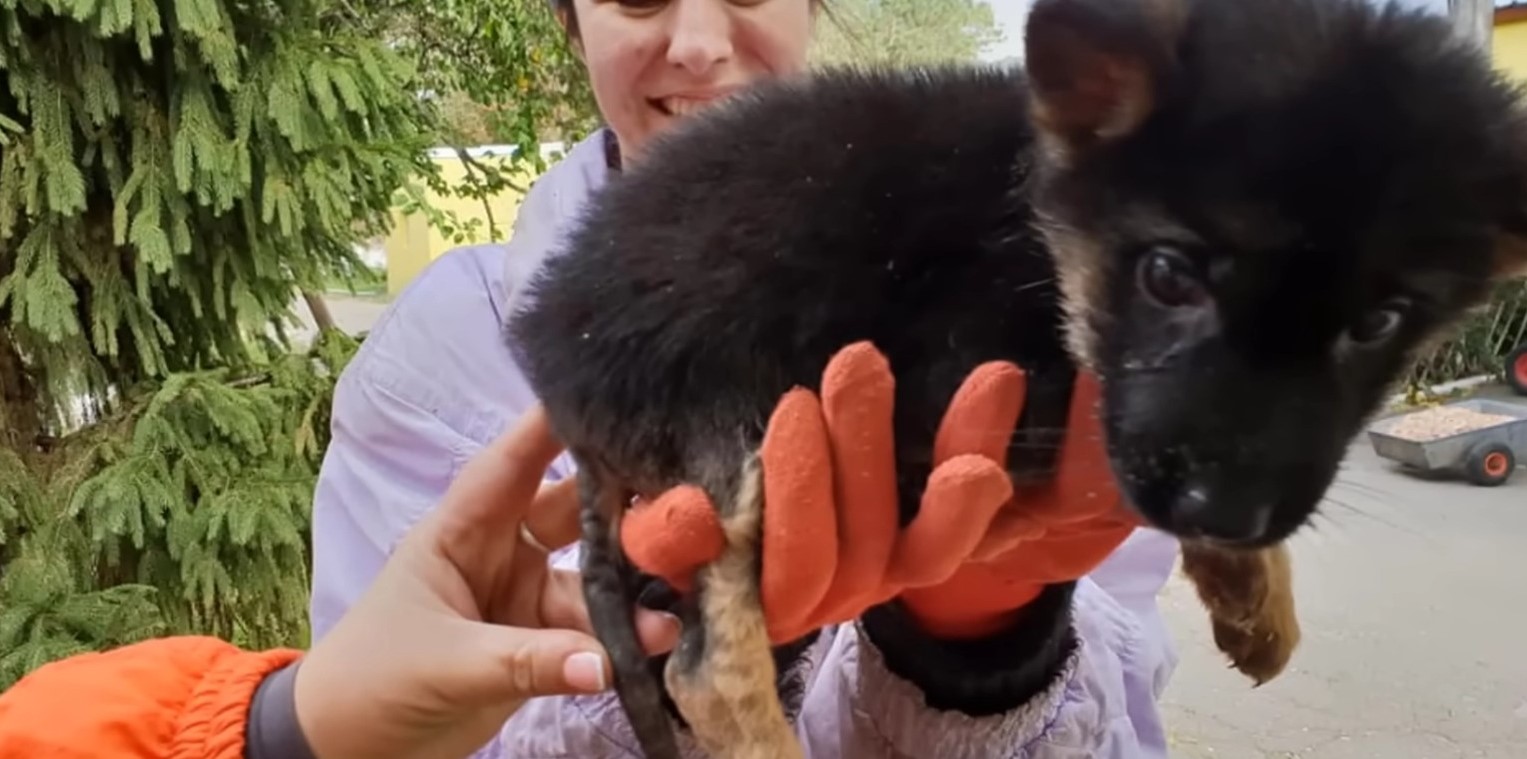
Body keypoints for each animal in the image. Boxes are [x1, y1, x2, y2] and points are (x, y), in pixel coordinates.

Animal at [510, 1, 1527, 751]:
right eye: (1167, 276)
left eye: (1380, 323)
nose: (1228, 514)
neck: (1039, 206)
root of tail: (553, 348)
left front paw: (1252, 596)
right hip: (739, 422)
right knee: (706, 670)